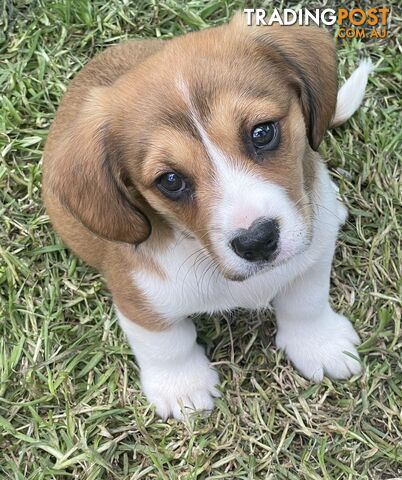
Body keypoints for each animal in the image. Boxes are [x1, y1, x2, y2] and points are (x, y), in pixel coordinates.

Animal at [42, 14, 372, 420]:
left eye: (262, 132)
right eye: (170, 181)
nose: (257, 241)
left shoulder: (310, 258)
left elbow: (306, 302)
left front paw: (318, 343)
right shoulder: (139, 299)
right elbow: (166, 343)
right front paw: (182, 387)